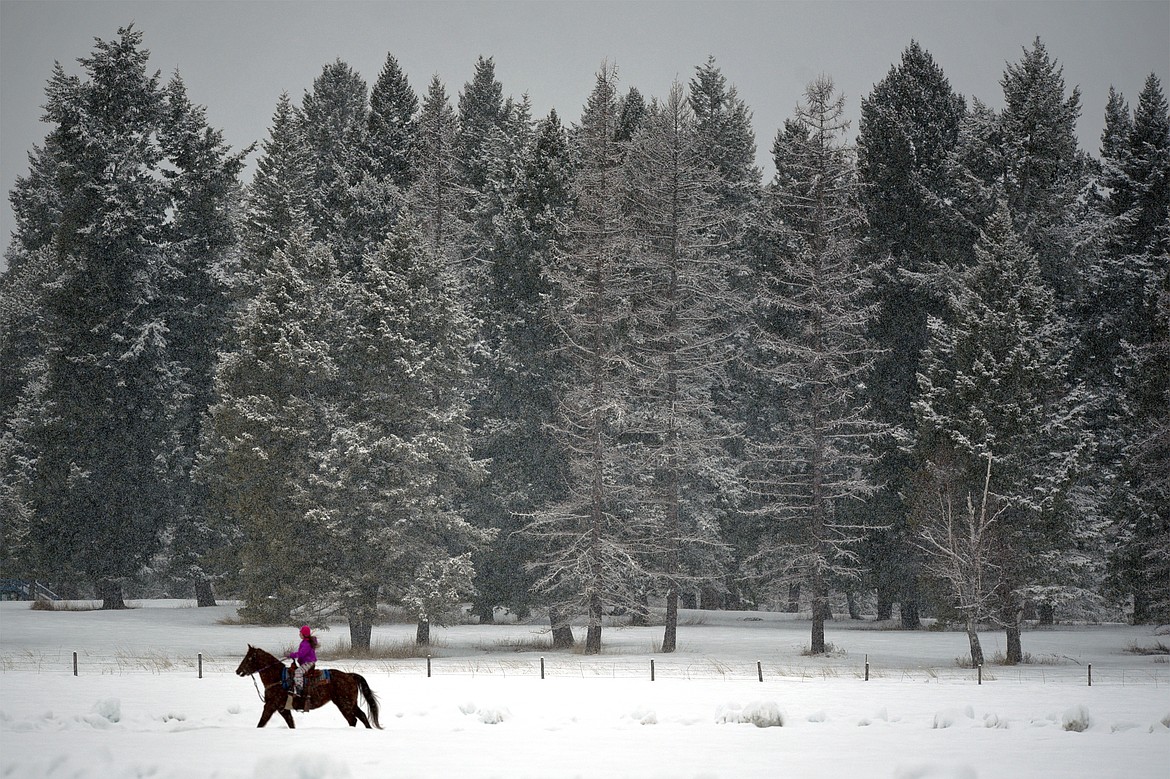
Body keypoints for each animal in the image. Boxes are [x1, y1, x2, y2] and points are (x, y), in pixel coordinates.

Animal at [235, 640, 381, 725]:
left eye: (249, 658)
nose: (238, 671)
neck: (278, 678)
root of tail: (349, 675)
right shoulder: (283, 709)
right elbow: (291, 724)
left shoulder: (270, 706)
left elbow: (261, 722)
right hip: (350, 703)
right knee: (362, 716)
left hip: (344, 703)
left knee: (353, 719)